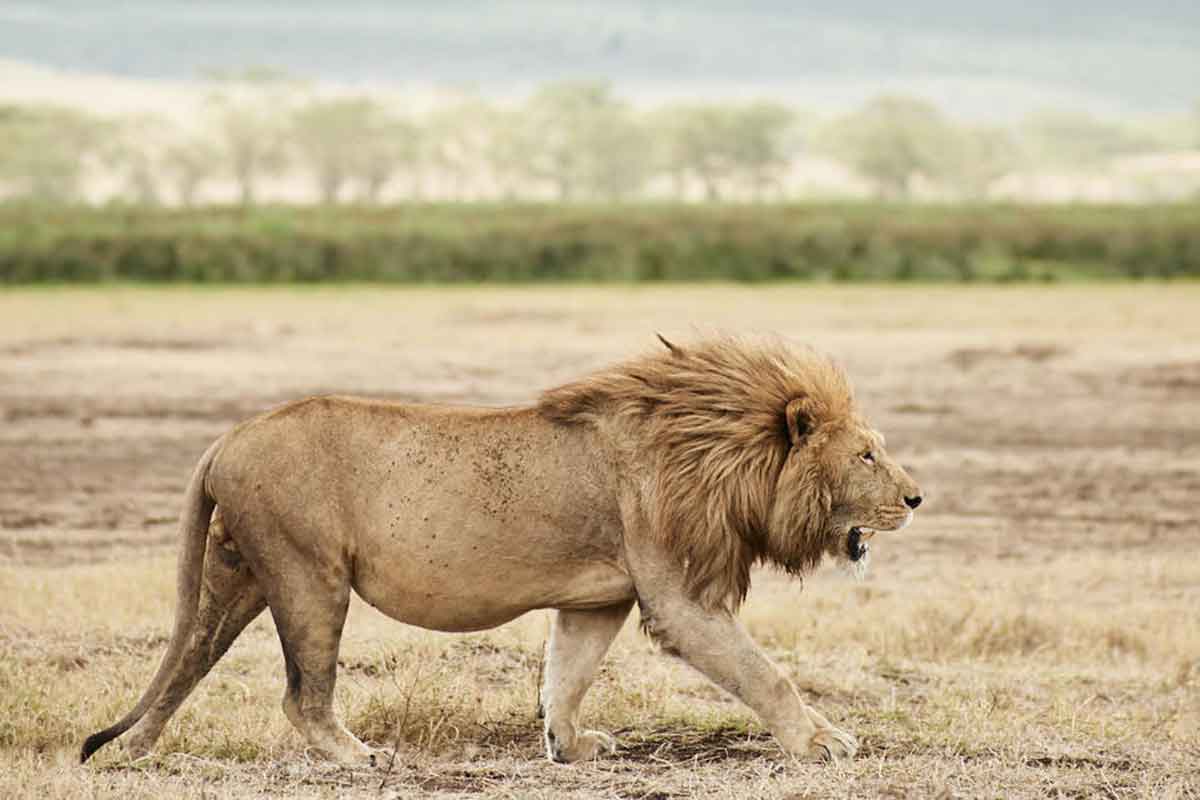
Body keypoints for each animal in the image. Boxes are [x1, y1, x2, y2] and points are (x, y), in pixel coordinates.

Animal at [79, 335, 921, 767]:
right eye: (868, 455)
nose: (916, 499)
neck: (720, 451)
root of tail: (226, 439)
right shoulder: (679, 598)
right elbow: (764, 674)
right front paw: (824, 741)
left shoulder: (598, 598)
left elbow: (567, 675)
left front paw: (569, 745)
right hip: (308, 574)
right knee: (300, 695)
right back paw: (359, 758)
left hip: (239, 574)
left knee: (187, 661)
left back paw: (134, 752)